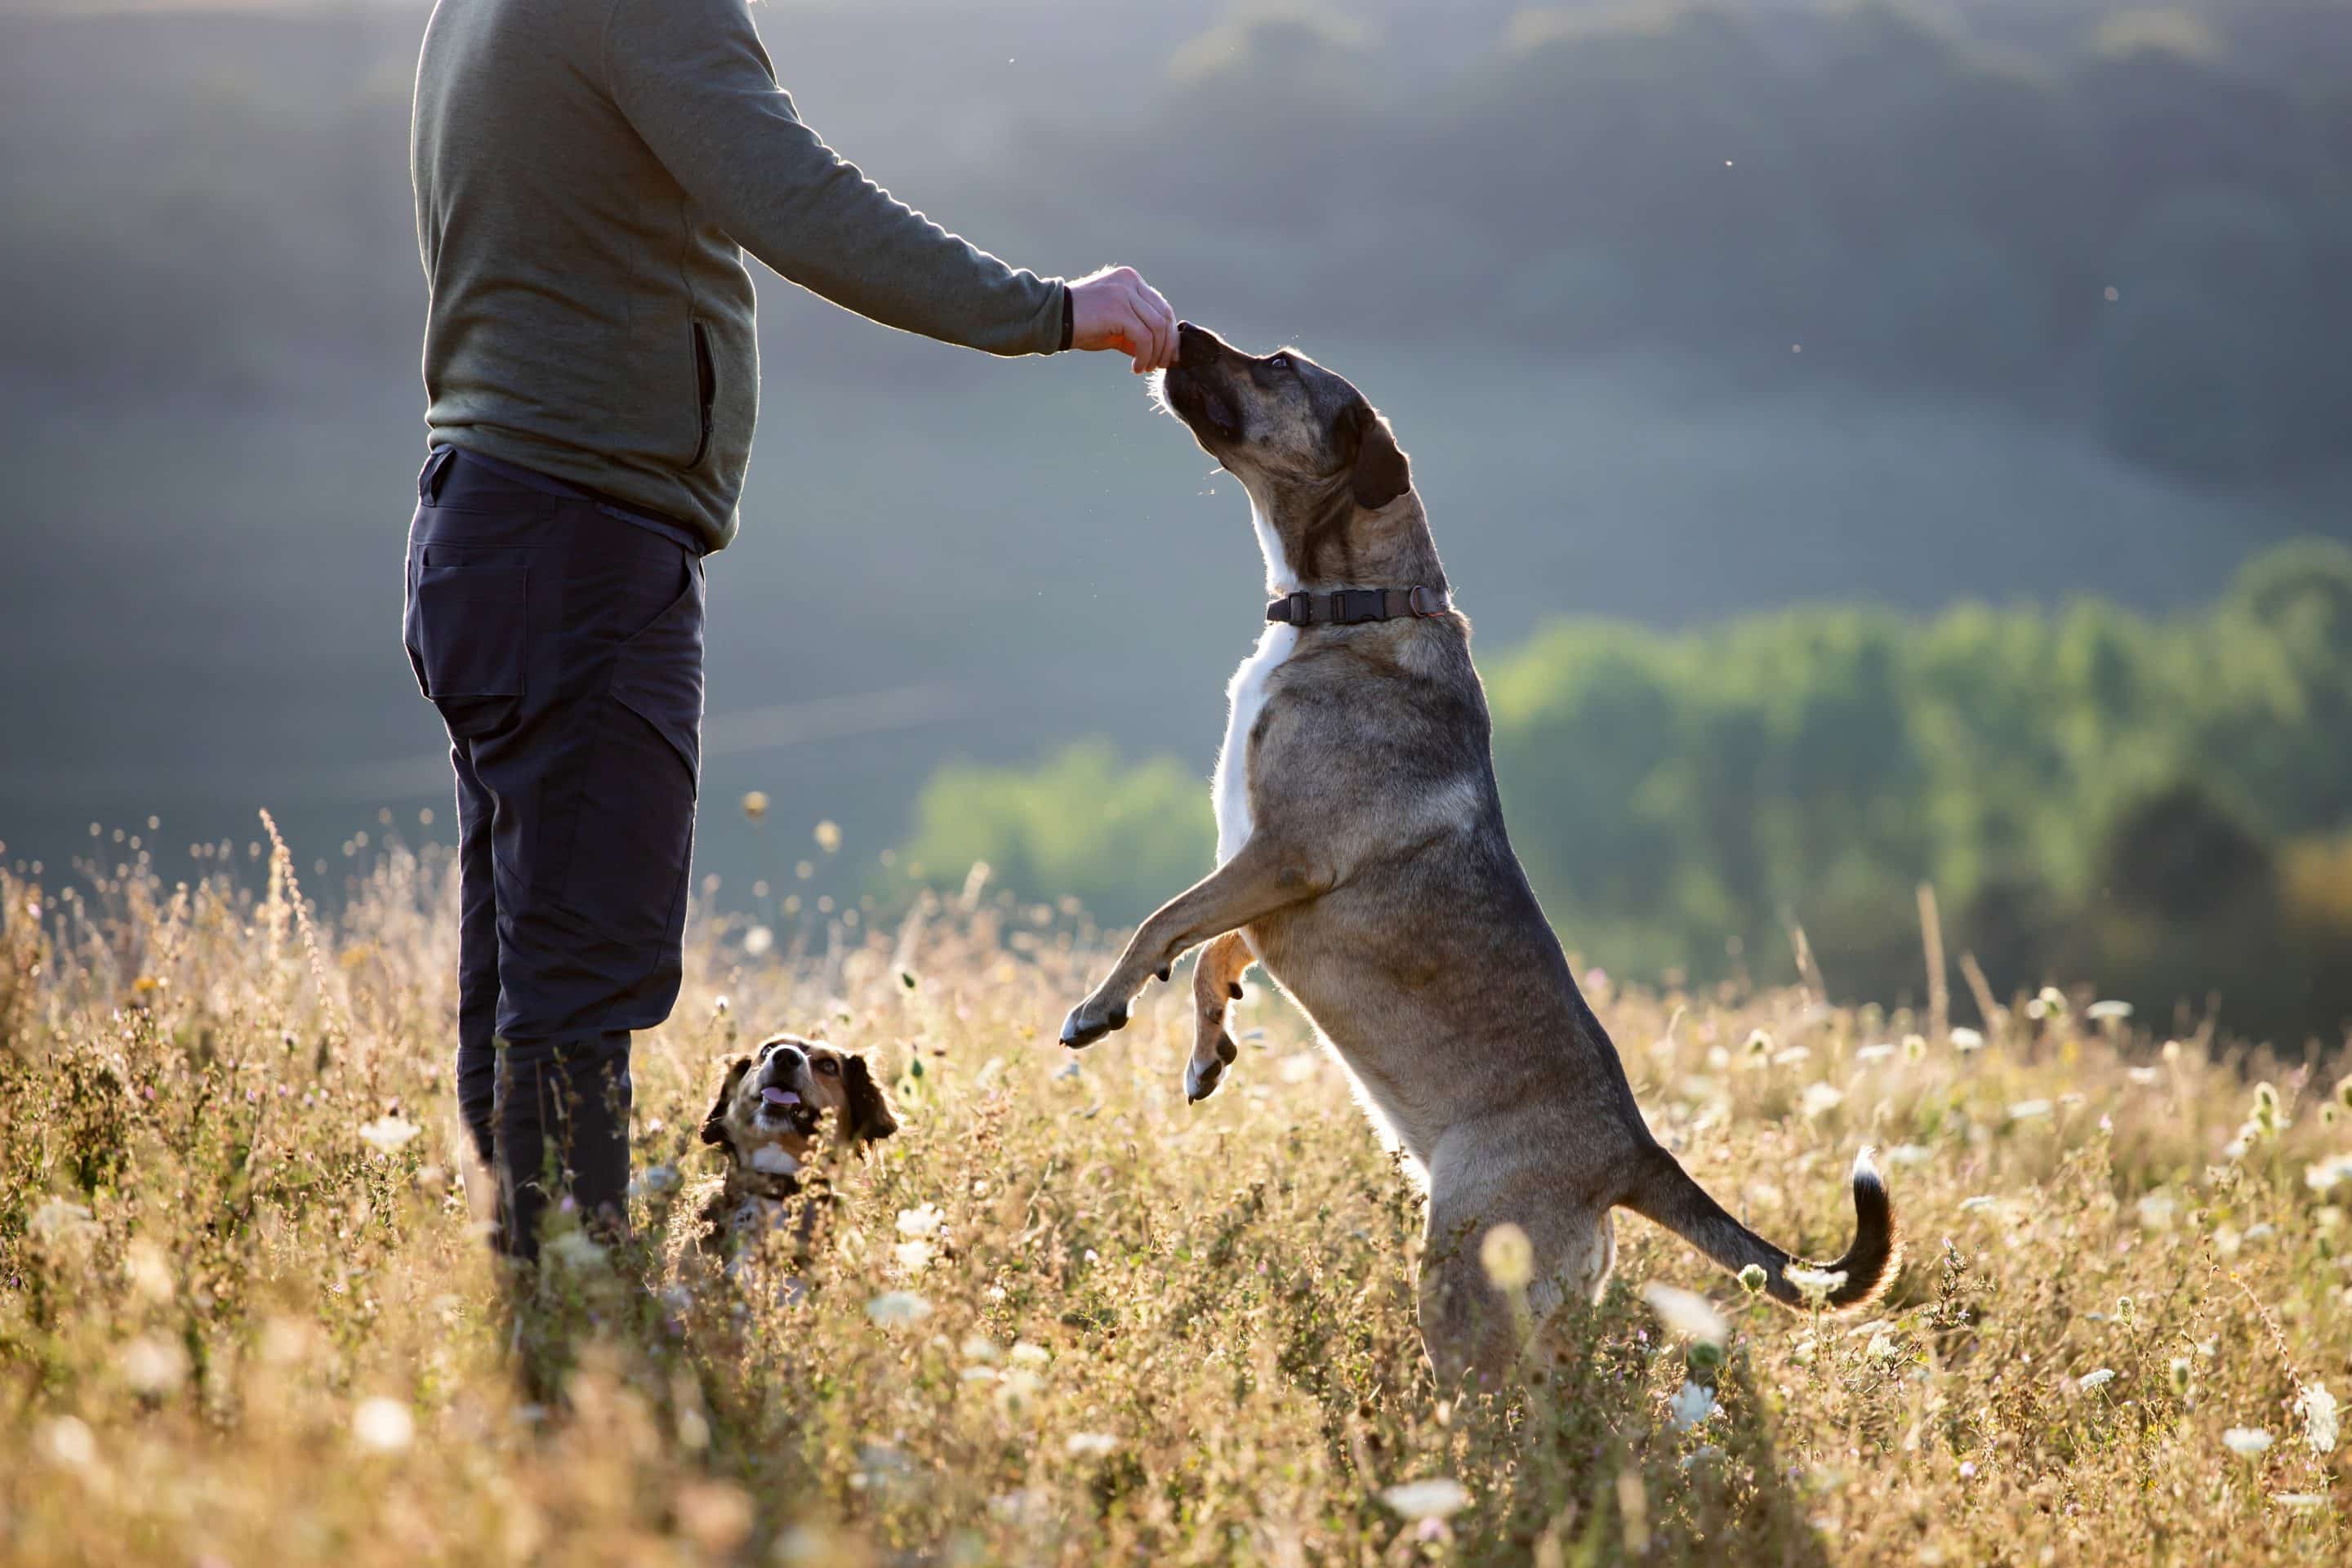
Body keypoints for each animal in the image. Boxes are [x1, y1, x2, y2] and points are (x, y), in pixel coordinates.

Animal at [1058, 319, 1900, 1382]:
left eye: (1279, 366)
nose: (1187, 329)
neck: (1359, 603)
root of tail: (1635, 1154)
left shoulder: (1283, 858)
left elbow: (1161, 921)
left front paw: (1100, 1009)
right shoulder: (1266, 883)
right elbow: (1211, 950)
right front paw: (1210, 1049)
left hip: (1459, 1277)